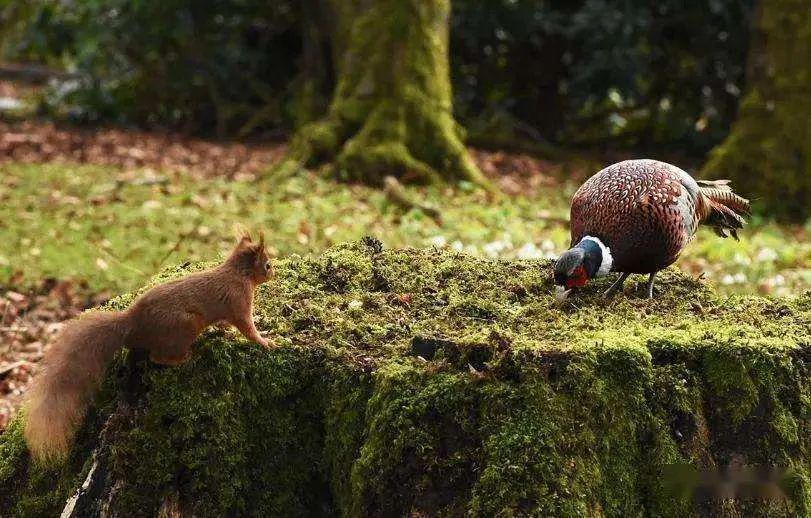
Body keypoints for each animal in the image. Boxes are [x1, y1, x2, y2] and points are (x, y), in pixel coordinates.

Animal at [23, 232, 274, 464]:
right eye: (267, 264)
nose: (273, 273)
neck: (238, 273)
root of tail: (132, 323)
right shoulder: (238, 301)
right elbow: (247, 327)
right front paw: (266, 341)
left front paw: (226, 330)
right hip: (184, 326)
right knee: (157, 357)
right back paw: (187, 357)